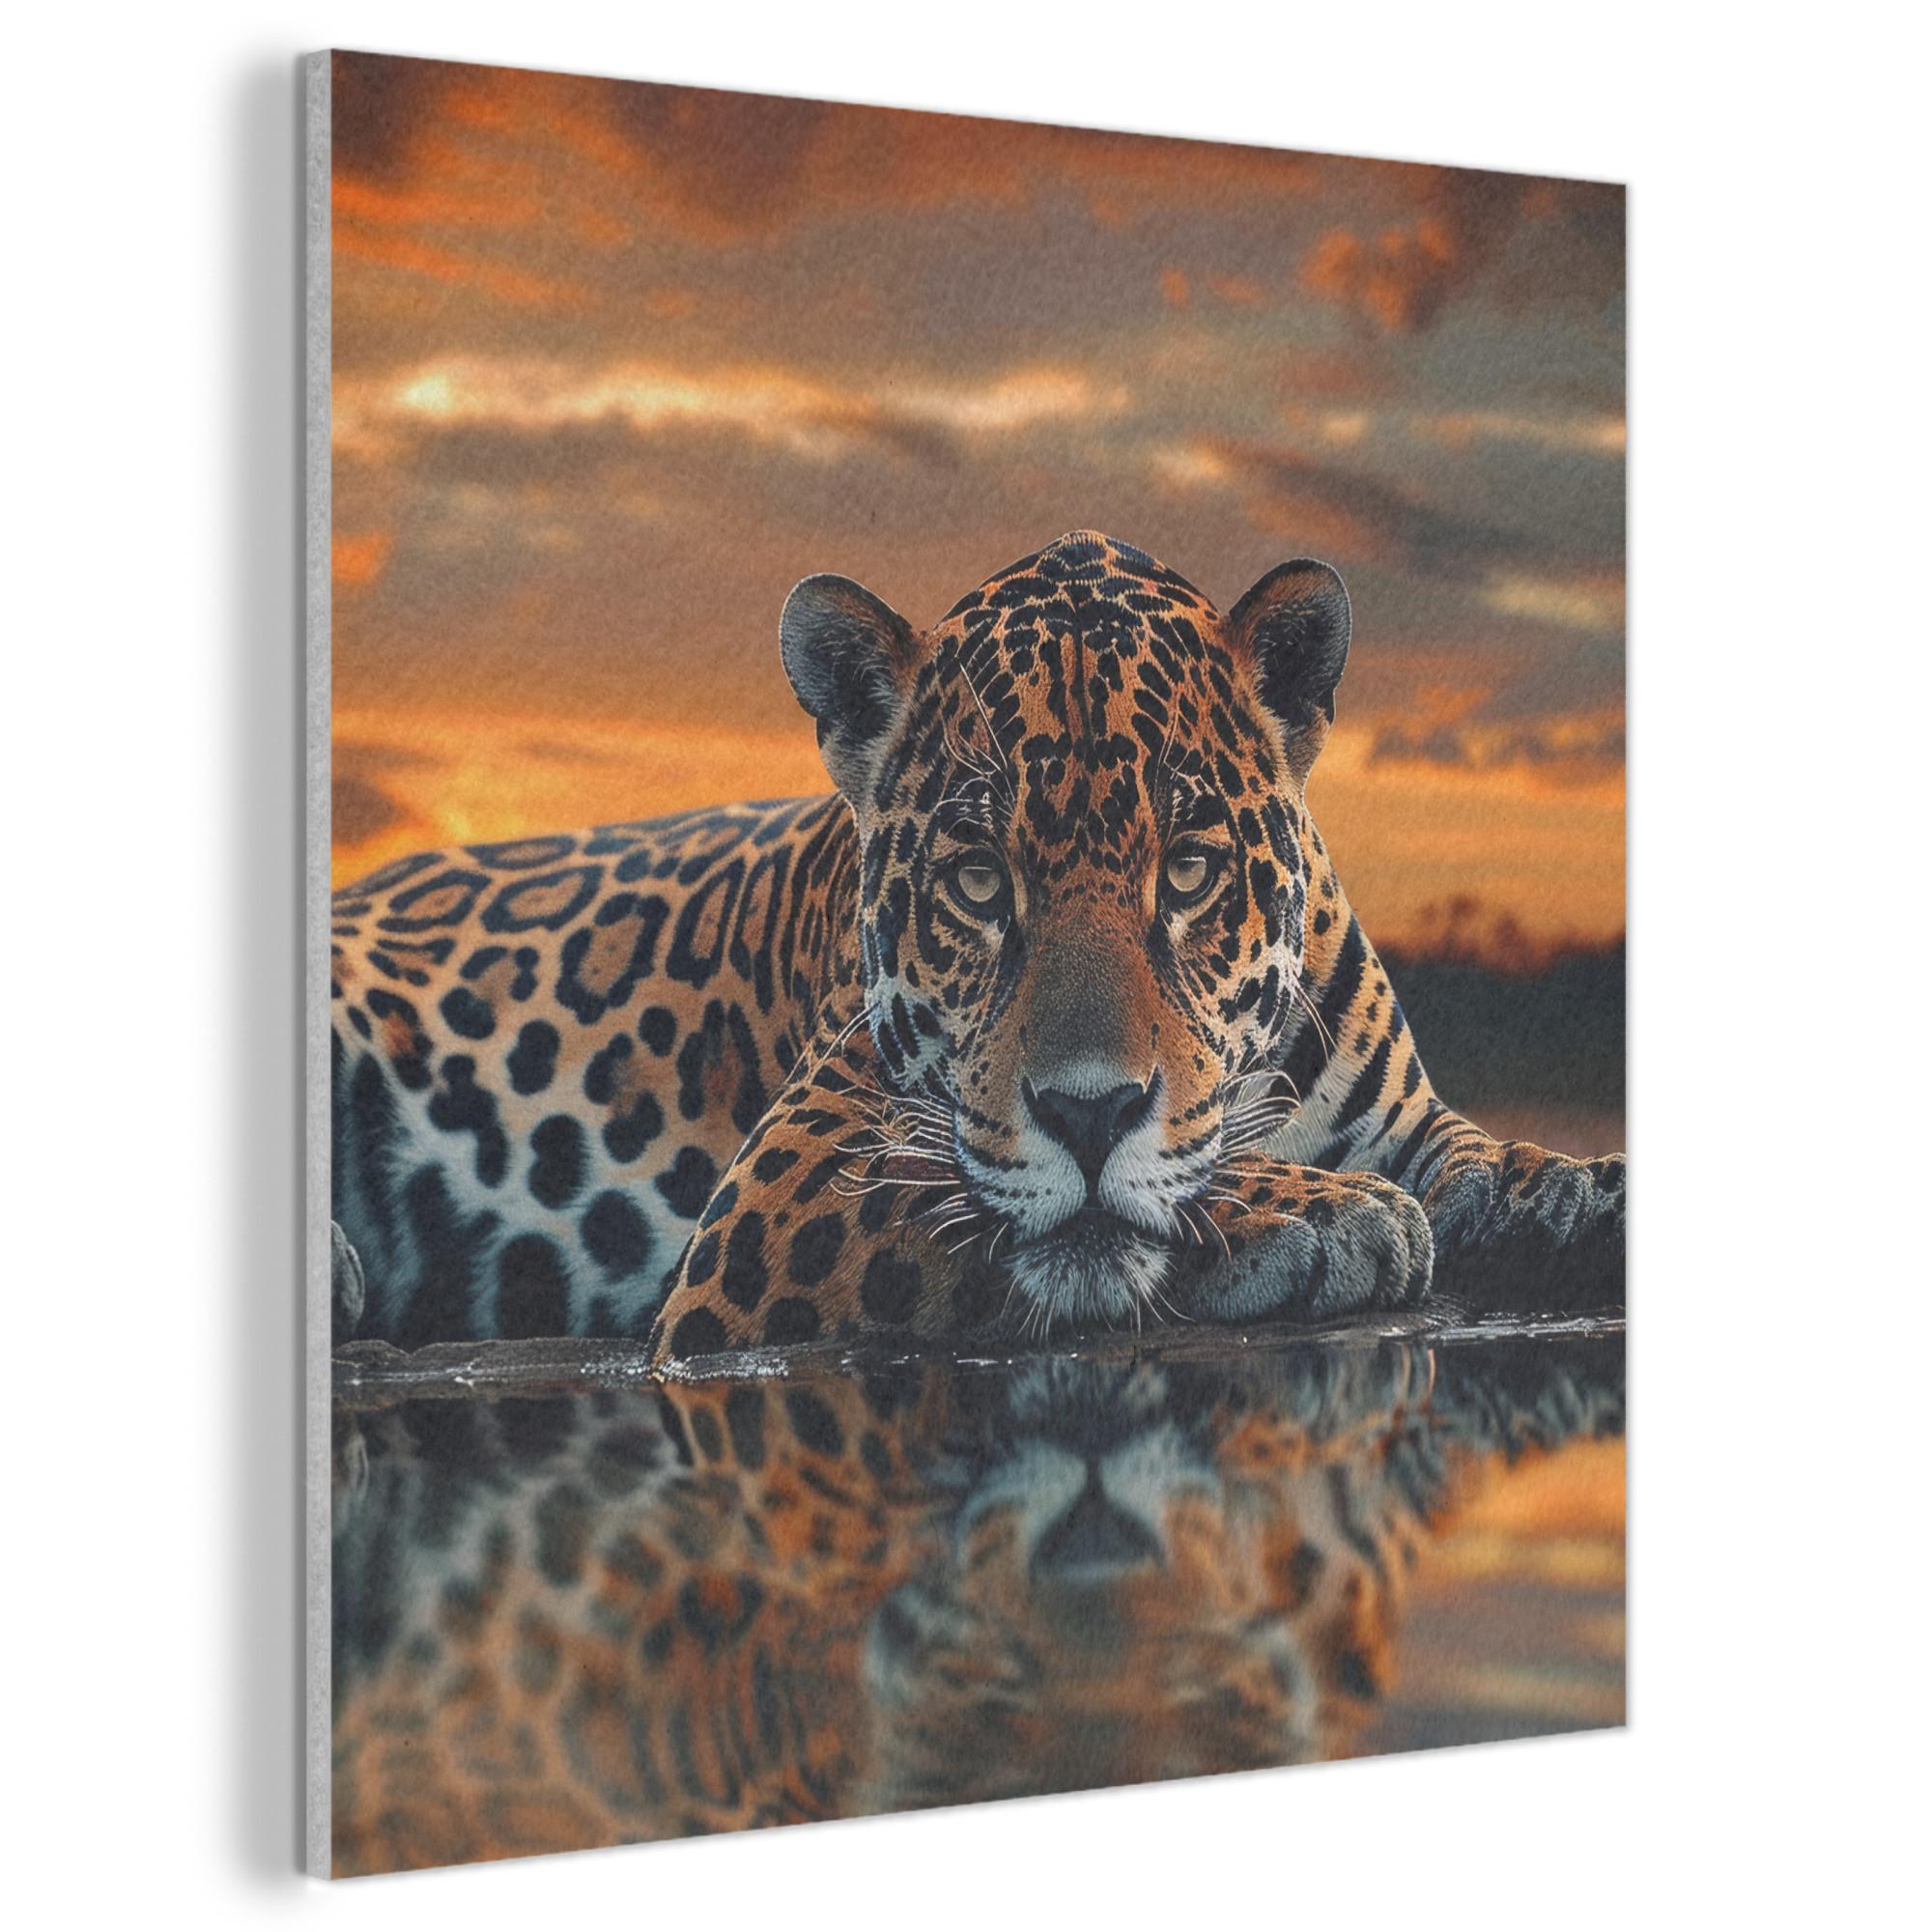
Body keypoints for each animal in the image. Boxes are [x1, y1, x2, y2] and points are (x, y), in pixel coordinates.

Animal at [329, 531, 1624, 1369]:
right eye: (976, 881)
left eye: (1187, 870)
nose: (1090, 1113)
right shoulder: (784, 1185)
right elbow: (994, 1198)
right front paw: (1320, 1210)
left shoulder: (1408, 1119)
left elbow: (1482, 1155)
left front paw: (1572, 1187)